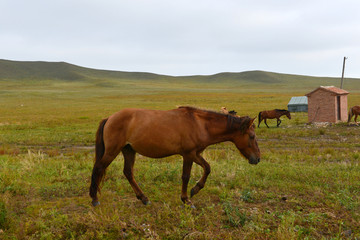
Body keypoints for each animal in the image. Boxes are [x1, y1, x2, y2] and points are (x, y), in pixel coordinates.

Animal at [89, 106, 260, 207]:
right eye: (252, 136)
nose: (257, 159)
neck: (200, 124)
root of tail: (110, 118)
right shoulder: (188, 154)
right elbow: (185, 176)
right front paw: (186, 199)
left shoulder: (195, 154)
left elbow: (207, 168)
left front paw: (195, 189)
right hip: (113, 151)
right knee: (98, 168)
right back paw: (94, 199)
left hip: (129, 150)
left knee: (128, 173)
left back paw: (143, 198)